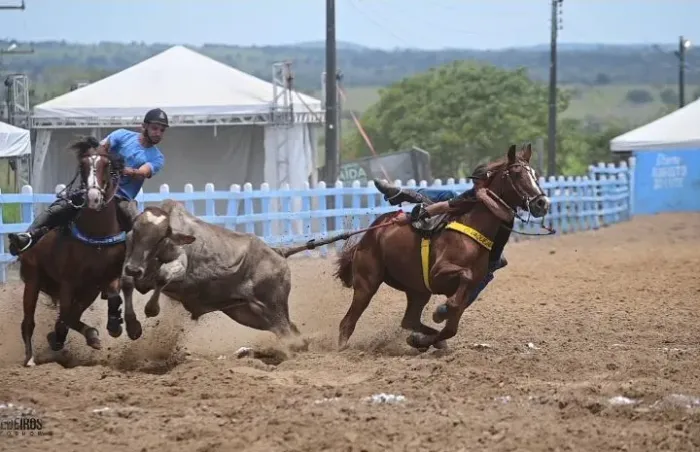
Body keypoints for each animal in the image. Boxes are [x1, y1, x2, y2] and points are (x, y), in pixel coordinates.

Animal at [18, 136, 136, 367]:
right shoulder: (68, 282)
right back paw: (30, 358)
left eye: (106, 165)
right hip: (33, 282)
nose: (93, 197)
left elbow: (113, 297)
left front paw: (113, 326)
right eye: (82, 166)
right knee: (29, 322)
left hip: (86, 291)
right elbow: (65, 315)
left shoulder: (107, 277)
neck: (97, 235)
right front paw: (79, 336)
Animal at [333, 143, 550, 352]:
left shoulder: (468, 290)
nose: (542, 203)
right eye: (517, 173)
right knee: (347, 322)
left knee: (409, 320)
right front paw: (440, 313)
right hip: (367, 284)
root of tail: (369, 235)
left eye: (534, 174)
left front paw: (420, 340)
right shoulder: (438, 273)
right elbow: (463, 280)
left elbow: (450, 329)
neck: (473, 226)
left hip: (418, 292)